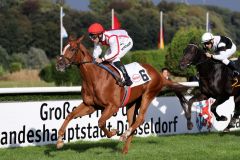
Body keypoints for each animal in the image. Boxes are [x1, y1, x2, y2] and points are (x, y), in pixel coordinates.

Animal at [55, 36, 190, 154]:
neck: (94, 78)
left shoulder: (112, 106)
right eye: (63, 48)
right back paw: (125, 149)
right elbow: (70, 115)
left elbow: (101, 122)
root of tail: (159, 75)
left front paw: (114, 132)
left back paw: (124, 135)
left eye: (72, 49)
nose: (59, 64)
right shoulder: (90, 106)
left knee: (140, 118)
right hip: (132, 103)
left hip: (148, 95)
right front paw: (60, 140)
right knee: (132, 123)